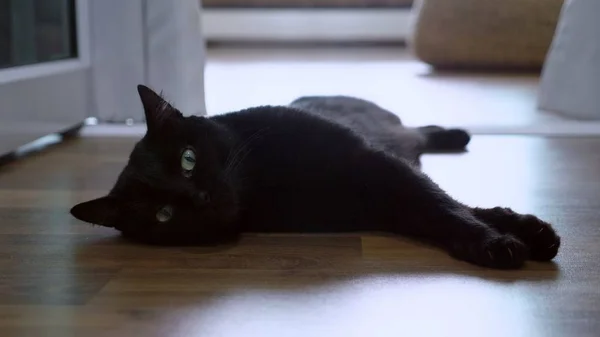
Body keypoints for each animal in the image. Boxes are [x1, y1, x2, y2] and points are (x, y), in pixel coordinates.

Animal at [71, 85, 564, 270]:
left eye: (188, 159)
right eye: (163, 214)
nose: (203, 196)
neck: (266, 180)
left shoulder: (377, 164)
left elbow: (445, 205)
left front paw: (512, 234)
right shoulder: (380, 199)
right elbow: (444, 211)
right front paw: (502, 239)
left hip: (392, 138)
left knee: (417, 132)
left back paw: (457, 134)